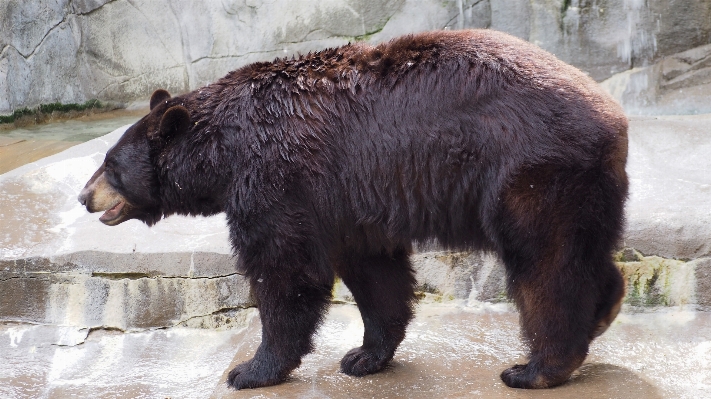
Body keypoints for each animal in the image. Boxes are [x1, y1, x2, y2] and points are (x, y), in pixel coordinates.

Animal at [78, 28, 628, 390]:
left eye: (110, 164)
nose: (84, 197)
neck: (223, 151)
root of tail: (612, 114)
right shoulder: (349, 198)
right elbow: (374, 270)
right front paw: (364, 356)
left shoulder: (277, 178)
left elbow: (286, 269)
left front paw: (250, 370)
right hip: (584, 186)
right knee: (583, 253)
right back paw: (603, 313)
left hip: (531, 172)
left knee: (545, 263)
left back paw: (535, 368)